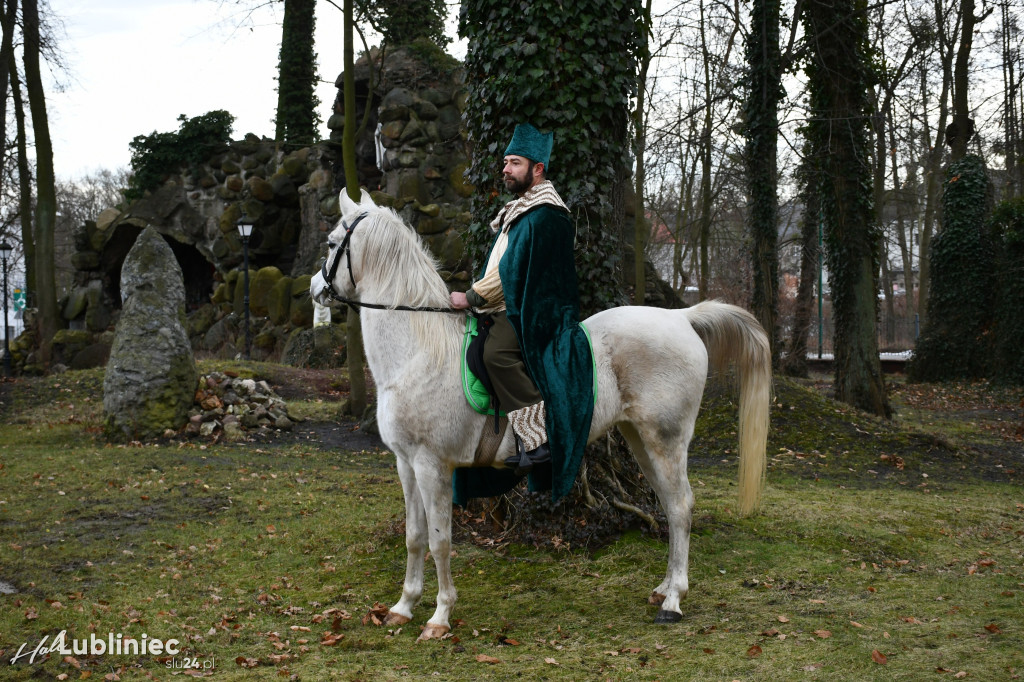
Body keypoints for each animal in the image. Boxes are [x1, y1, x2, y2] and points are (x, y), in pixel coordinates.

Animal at [307, 189, 770, 638]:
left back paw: (674, 601)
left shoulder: (432, 464)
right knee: (671, 507)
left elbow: (440, 541)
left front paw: (439, 617)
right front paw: (403, 607)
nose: (314, 288)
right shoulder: (406, 463)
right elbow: (414, 537)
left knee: (681, 506)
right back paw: (664, 588)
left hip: (667, 440)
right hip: (641, 440)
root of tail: (682, 318)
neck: (418, 352)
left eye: (330, 242)